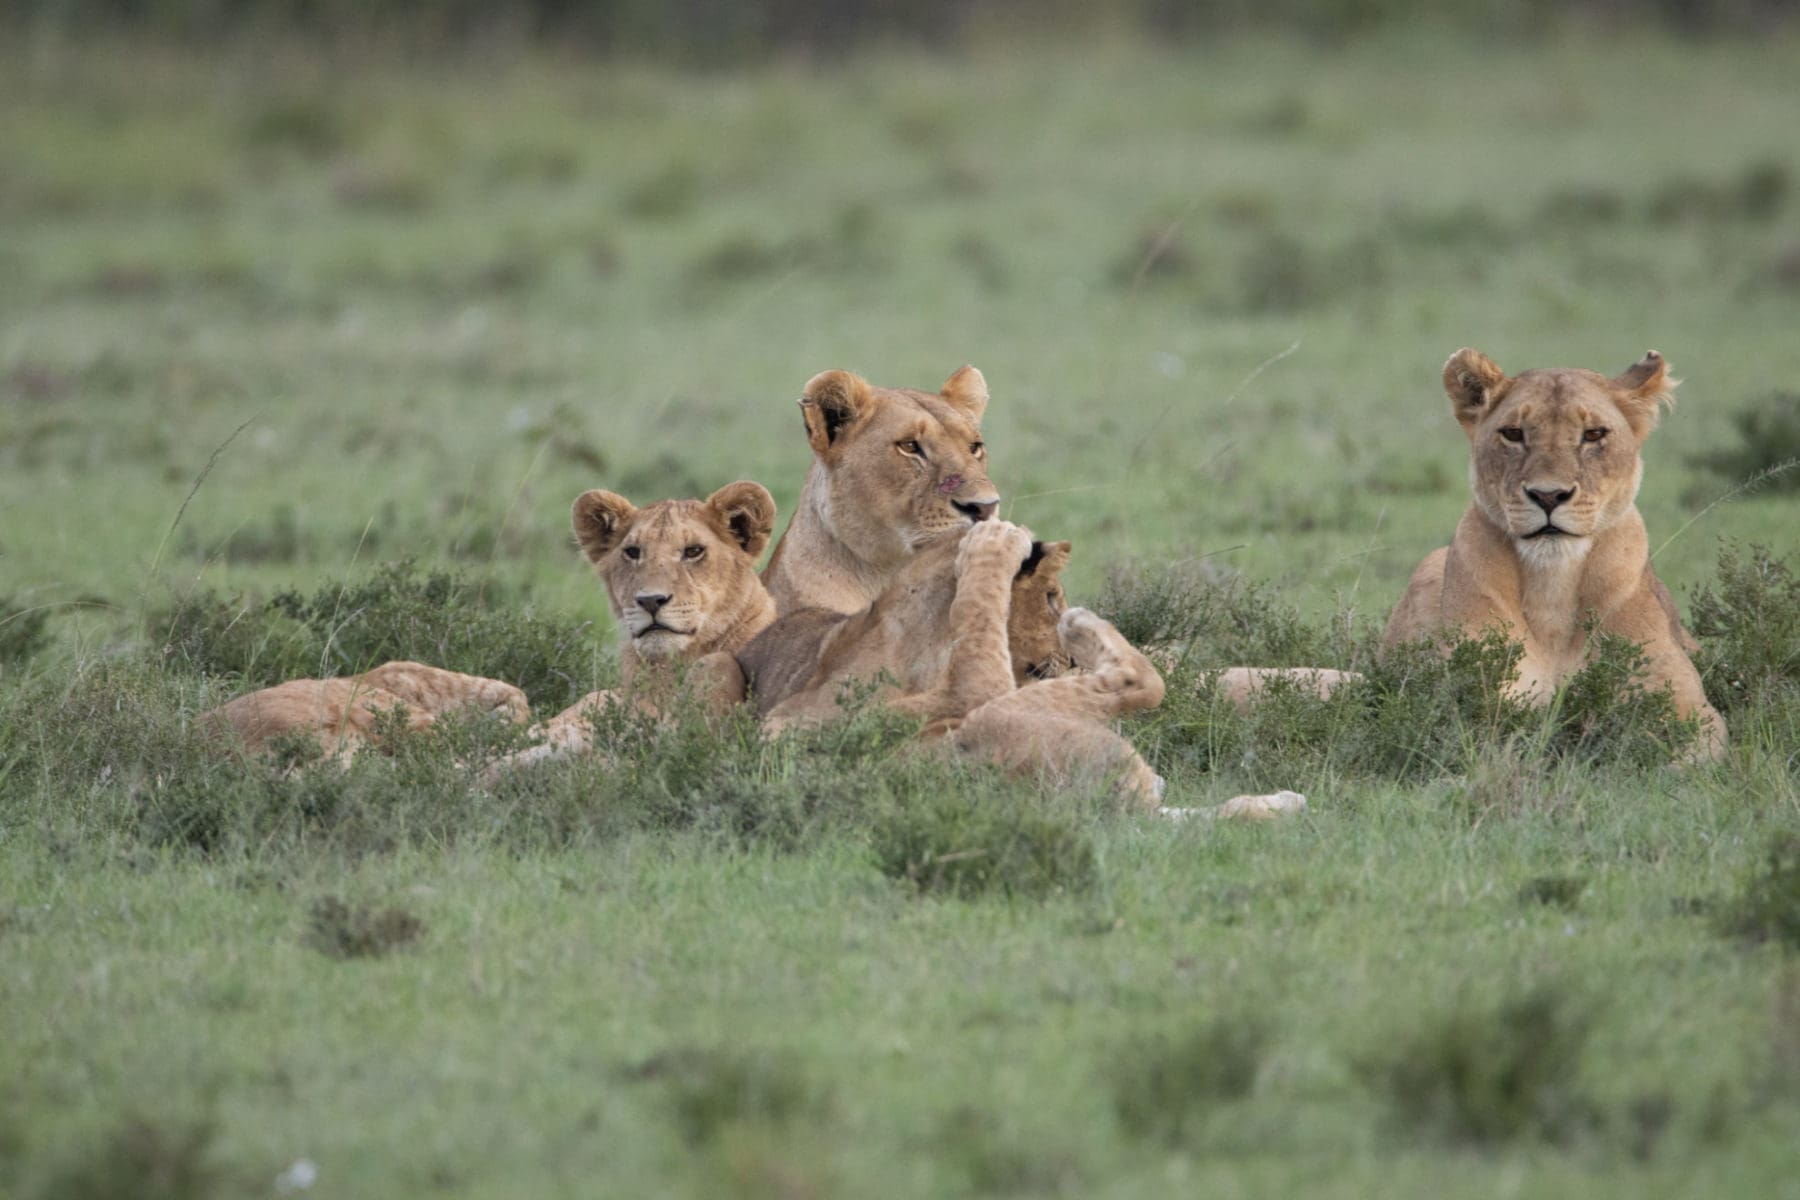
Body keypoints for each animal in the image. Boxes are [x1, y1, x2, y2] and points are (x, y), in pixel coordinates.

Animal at [1381, 347, 1725, 758]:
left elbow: (1689, 750)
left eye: (1593, 434)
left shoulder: (1686, 701)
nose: (1548, 496)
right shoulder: (1475, 693)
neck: (1553, 587)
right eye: (1513, 434)